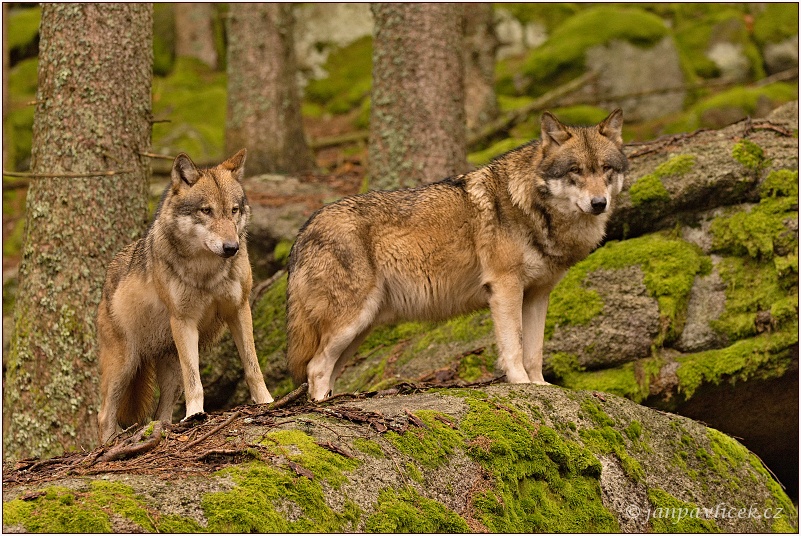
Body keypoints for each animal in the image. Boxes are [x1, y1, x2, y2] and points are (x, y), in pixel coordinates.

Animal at [95, 149, 272, 442]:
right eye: (206, 210)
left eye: (233, 210)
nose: (231, 248)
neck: (207, 270)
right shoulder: (184, 321)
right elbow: (195, 381)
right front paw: (195, 415)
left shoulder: (239, 309)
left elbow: (252, 366)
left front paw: (266, 402)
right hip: (125, 365)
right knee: (104, 415)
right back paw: (109, 444)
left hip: (170, 368)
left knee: (161, 411)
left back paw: (164, 428)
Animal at [284, 110, 628, 402]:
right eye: (576, 171)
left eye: (606, 169)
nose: (599, 203)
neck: (533, 208)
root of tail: (303, 230)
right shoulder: (505, 288)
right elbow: (514, 346)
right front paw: (521, 384)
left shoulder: (538, 295)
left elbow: (535, 350)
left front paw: (541, 386)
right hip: (351, 323)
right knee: (316, 368)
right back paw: (321, 407)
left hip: (359, 329)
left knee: (326, 370)